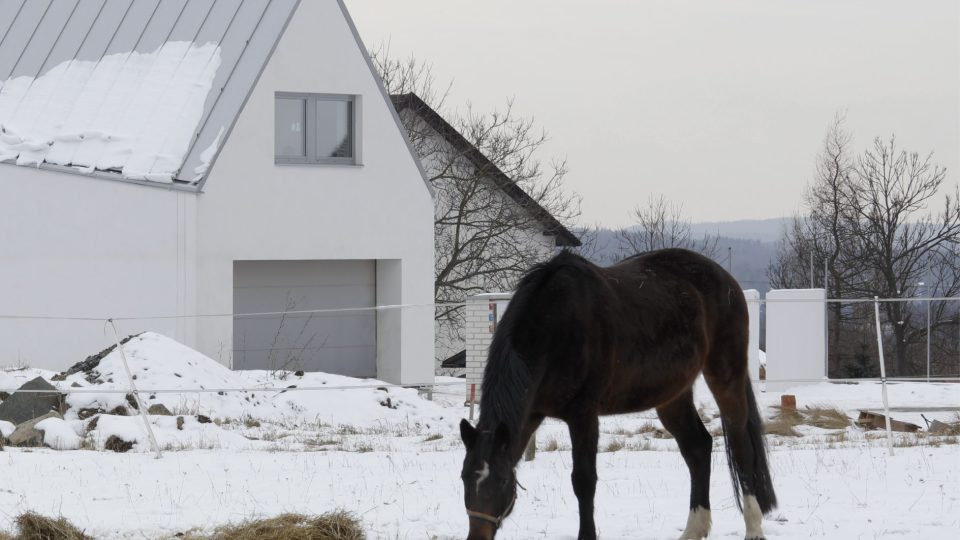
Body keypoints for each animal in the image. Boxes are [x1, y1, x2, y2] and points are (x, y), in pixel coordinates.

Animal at [460, 249, 780, 540]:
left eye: (502, 481)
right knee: (698, 448)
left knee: (741, 447)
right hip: (672, 397)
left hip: (726, 377)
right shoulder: (532, 413)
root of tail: (726, 279)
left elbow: (584, 481)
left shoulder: (583, 415)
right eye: (464, 476)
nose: (477, 536)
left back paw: (753, 528)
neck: (554, 325)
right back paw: (694, 530)